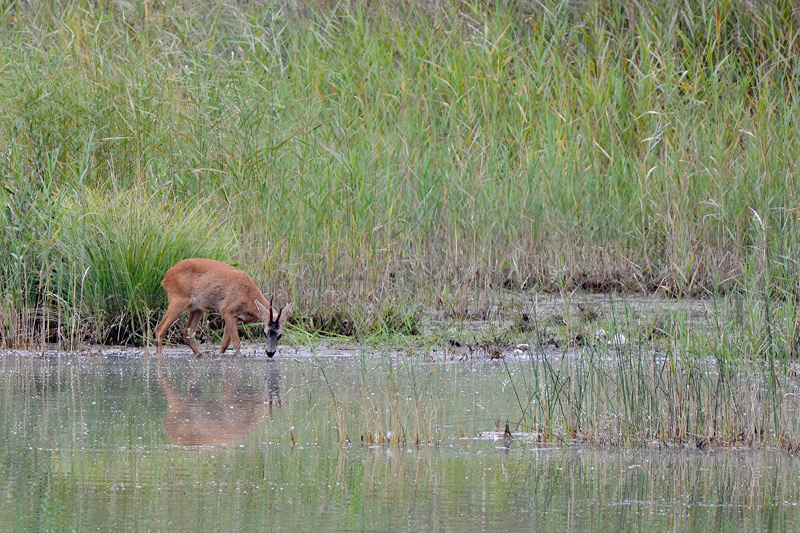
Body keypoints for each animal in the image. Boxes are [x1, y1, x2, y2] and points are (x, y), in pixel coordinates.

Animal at [152, 258, 292, 358]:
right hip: (178, 300)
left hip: (197, 308)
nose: (270, 353)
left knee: (188, 332)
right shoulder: (227, 310)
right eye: (264, 333)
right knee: (160, 329)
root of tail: (166, 277)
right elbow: (236, 342)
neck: (248, 295)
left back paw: (200, 355)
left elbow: (225, 344)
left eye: (280, 335)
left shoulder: (237, 317)